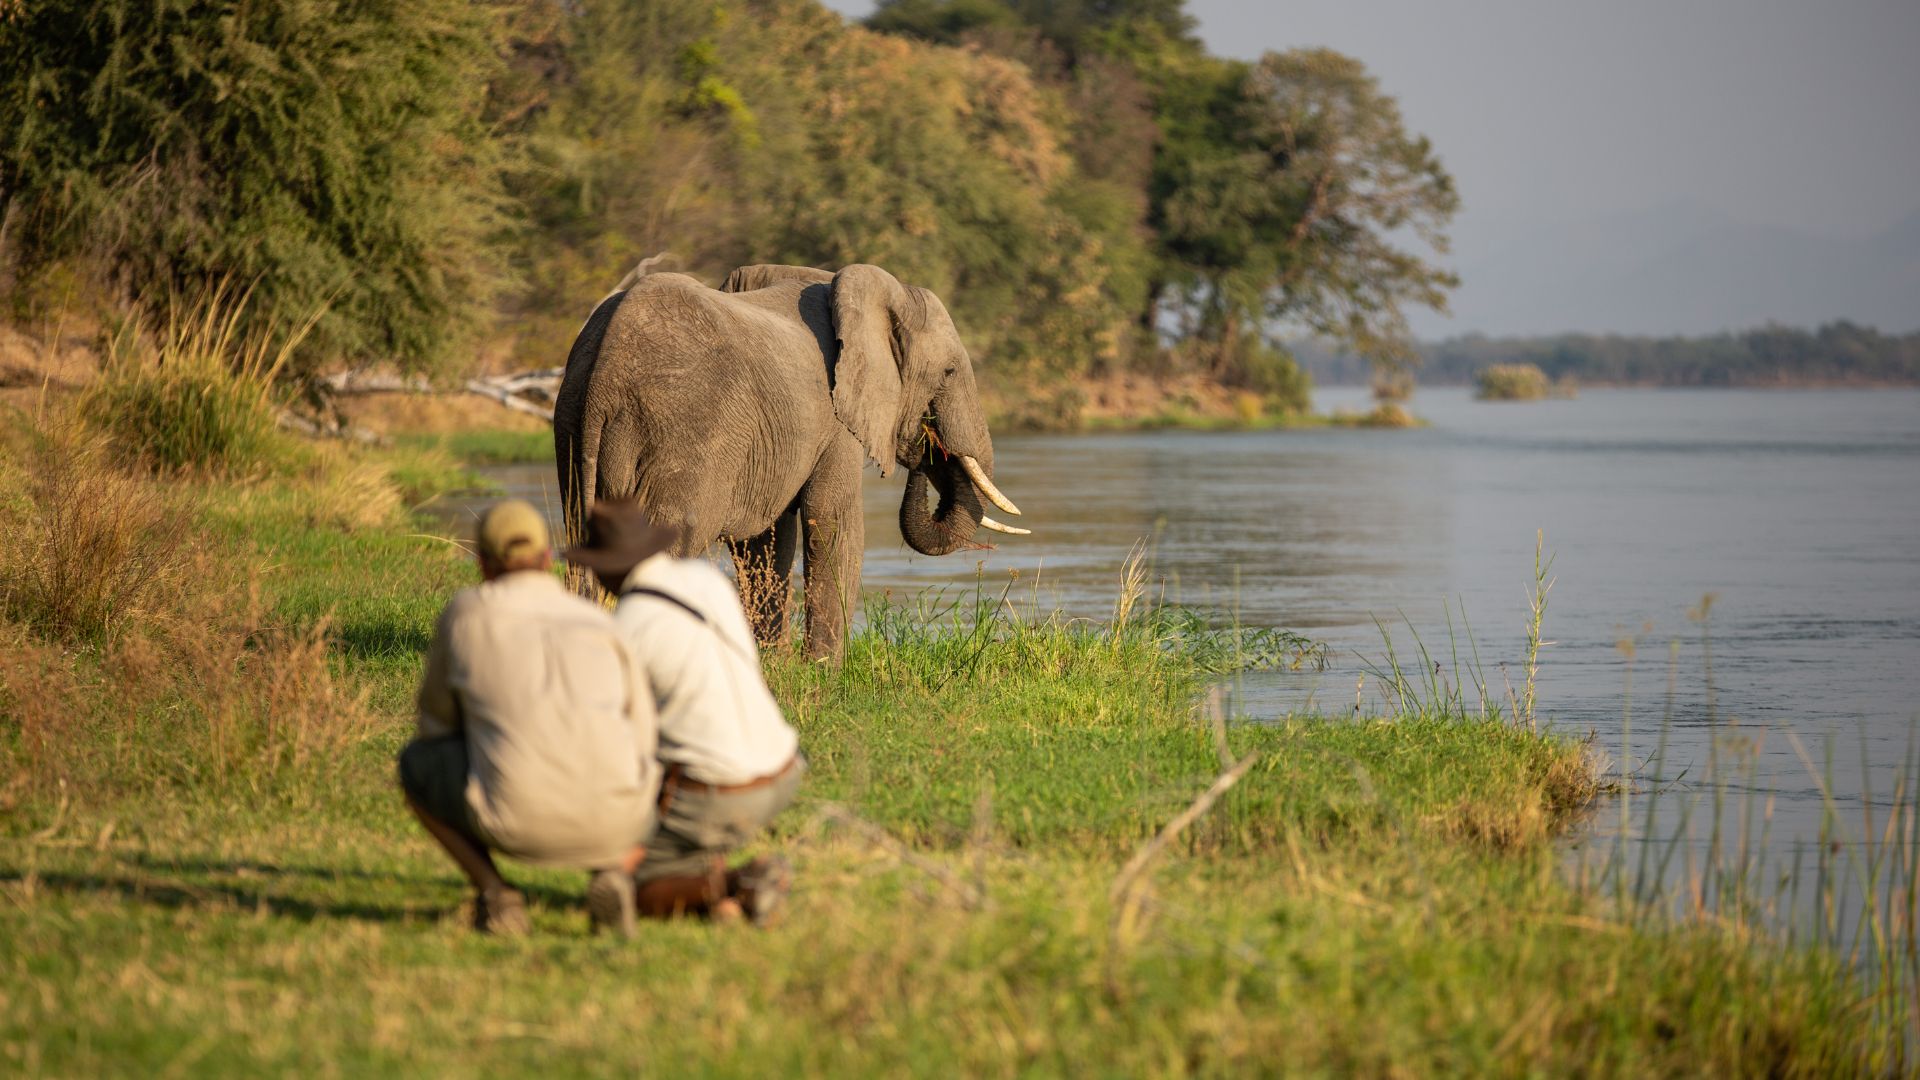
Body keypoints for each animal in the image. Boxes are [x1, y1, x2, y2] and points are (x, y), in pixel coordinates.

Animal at [553, 262, 1027, 660]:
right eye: (949, 372)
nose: (928, 442)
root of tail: (605, 373)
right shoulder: (834, 418)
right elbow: (832, 519)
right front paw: (824, 672)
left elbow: (763, 541)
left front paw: (774, 665)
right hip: (683, 432)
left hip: (572, 431)